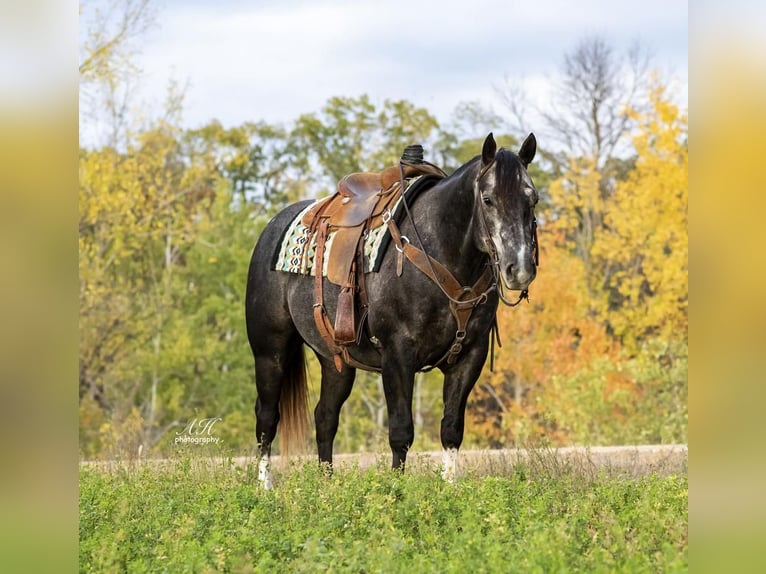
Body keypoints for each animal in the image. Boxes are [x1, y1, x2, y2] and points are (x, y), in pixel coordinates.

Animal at [246, 133, 540, 488]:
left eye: (533, 199)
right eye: (488, 199)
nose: (519, 268)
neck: (439, 251)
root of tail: (271, 228)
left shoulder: (470, 357)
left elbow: (451, 429)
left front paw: (449, 489)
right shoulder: (397, 356)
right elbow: (401, 431)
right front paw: (395, 492)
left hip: (335, 361)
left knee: (325, 417)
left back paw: (327, 486)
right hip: (270, 352)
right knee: (266, 417)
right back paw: (264, 487)